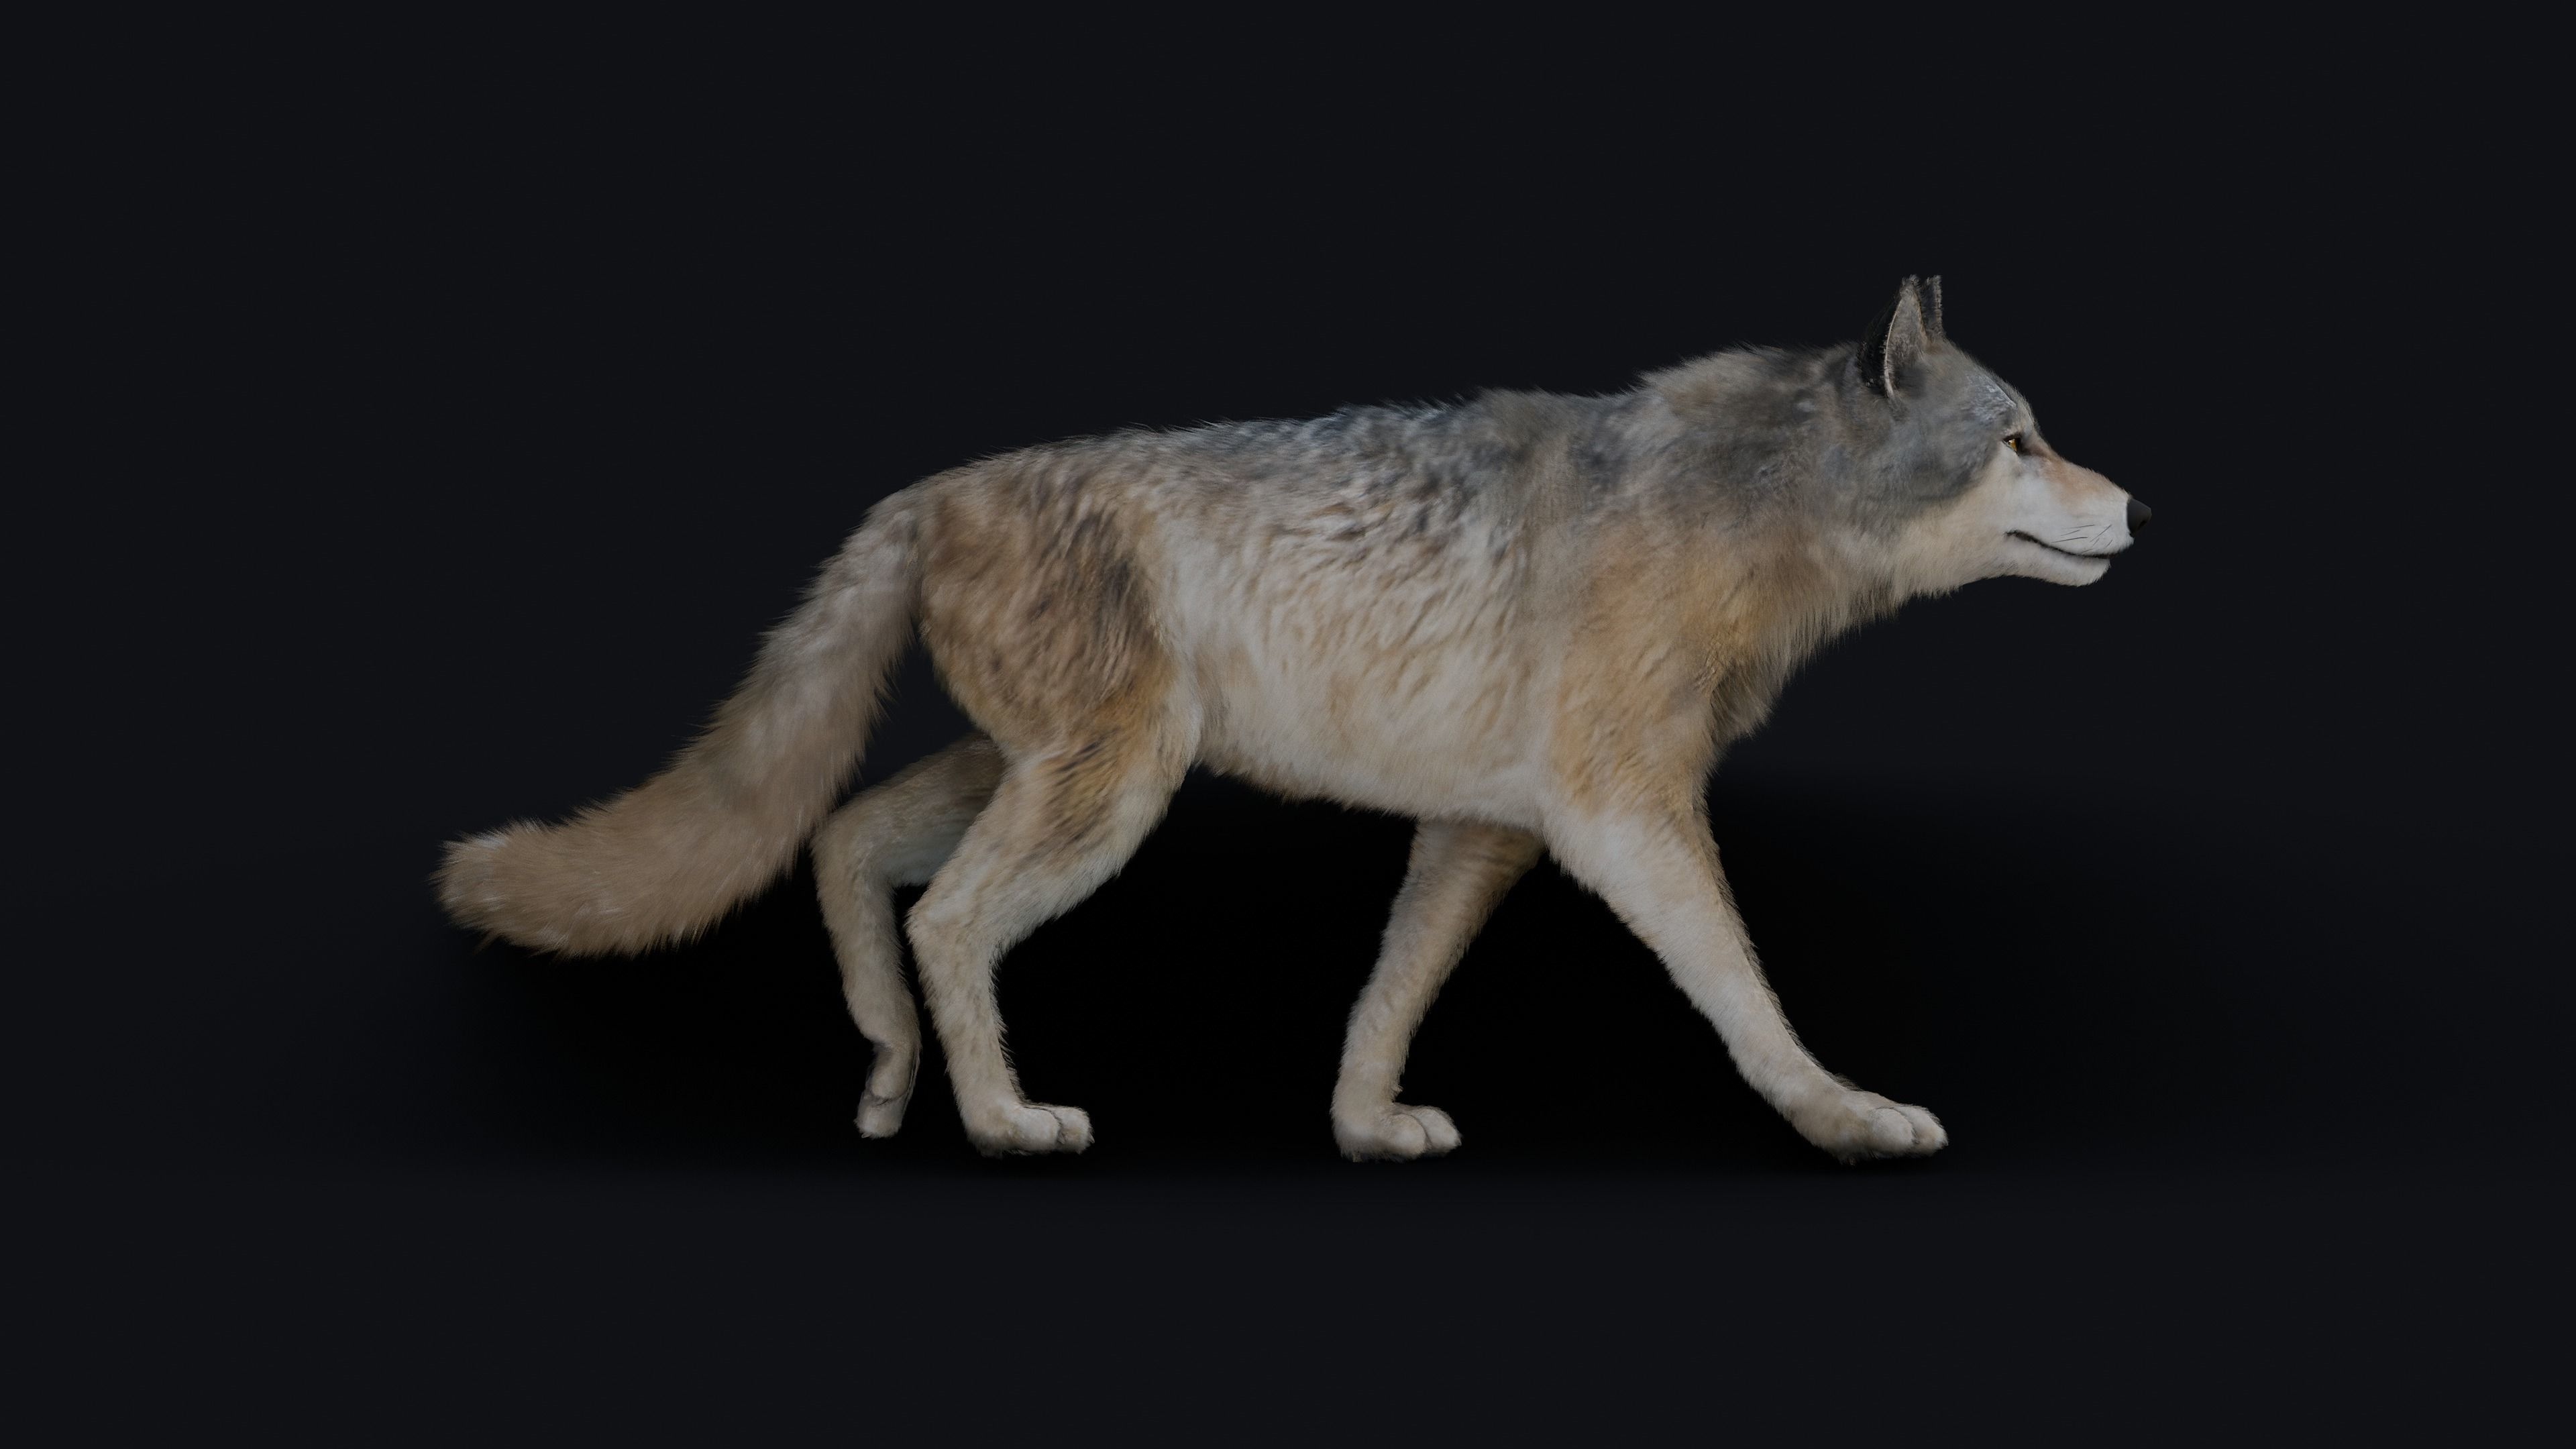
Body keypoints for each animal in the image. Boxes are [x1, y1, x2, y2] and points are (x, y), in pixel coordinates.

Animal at [438, 277, 2148, 1163]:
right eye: (2020, 440)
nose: (2139, 507)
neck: (1741, 509)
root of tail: (928, 489)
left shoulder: (1485, 832)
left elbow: (1387, 995)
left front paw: (1362, 1125)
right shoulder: (1620, 820)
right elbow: (1743, 993)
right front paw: (1844, 1116)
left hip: (1046, 773)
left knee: (847, 840)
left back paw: (881, 1071)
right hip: (1104, 798)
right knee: (948, 921)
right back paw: (997, 1117)